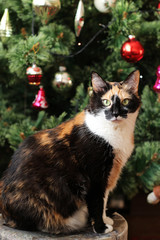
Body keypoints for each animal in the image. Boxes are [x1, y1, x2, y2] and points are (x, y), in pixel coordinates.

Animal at [0, 70, 140, 234]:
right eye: (106, 102)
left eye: (125, 102)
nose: (116, 113)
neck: (117, 133)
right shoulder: (95, 175)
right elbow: (97, 201)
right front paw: (100, 227)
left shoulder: (110, 173)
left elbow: (104, 199)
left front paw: (105, 219)